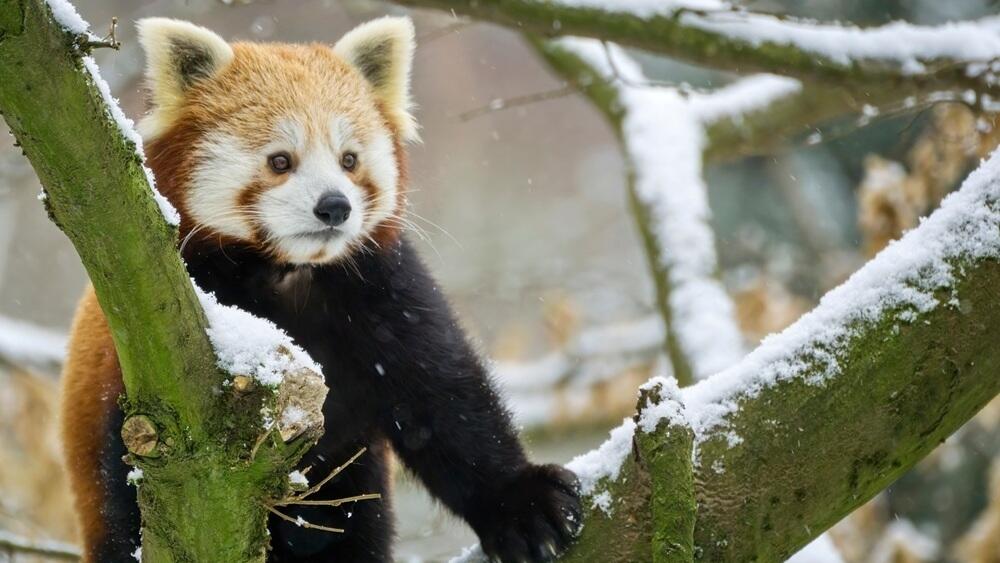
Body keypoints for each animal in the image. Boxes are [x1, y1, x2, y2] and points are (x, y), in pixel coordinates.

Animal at [60, 16, 582, 563]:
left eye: (349, 159)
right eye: (280, 161)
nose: (335, 206)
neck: (289, 272)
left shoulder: (385, 291)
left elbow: (447, 402)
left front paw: (525, 503)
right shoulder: (155, 322)